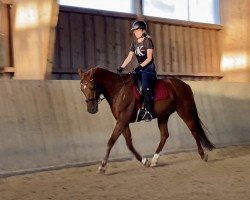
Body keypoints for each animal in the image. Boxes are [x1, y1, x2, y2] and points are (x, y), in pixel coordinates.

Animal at [78, 66, 215, 173]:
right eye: (82, 89)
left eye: (92, 86)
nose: (91, 109)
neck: (119, 90)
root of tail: (185, 85)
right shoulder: (123, 122)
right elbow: (129, 143)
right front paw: (145, 161)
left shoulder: (122, 121)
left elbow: (111, 141)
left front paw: (102, 166)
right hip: (163, 116)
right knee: (165, 135)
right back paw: (154, 160)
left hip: (184, 112)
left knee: (193, 130)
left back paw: (203, 155)